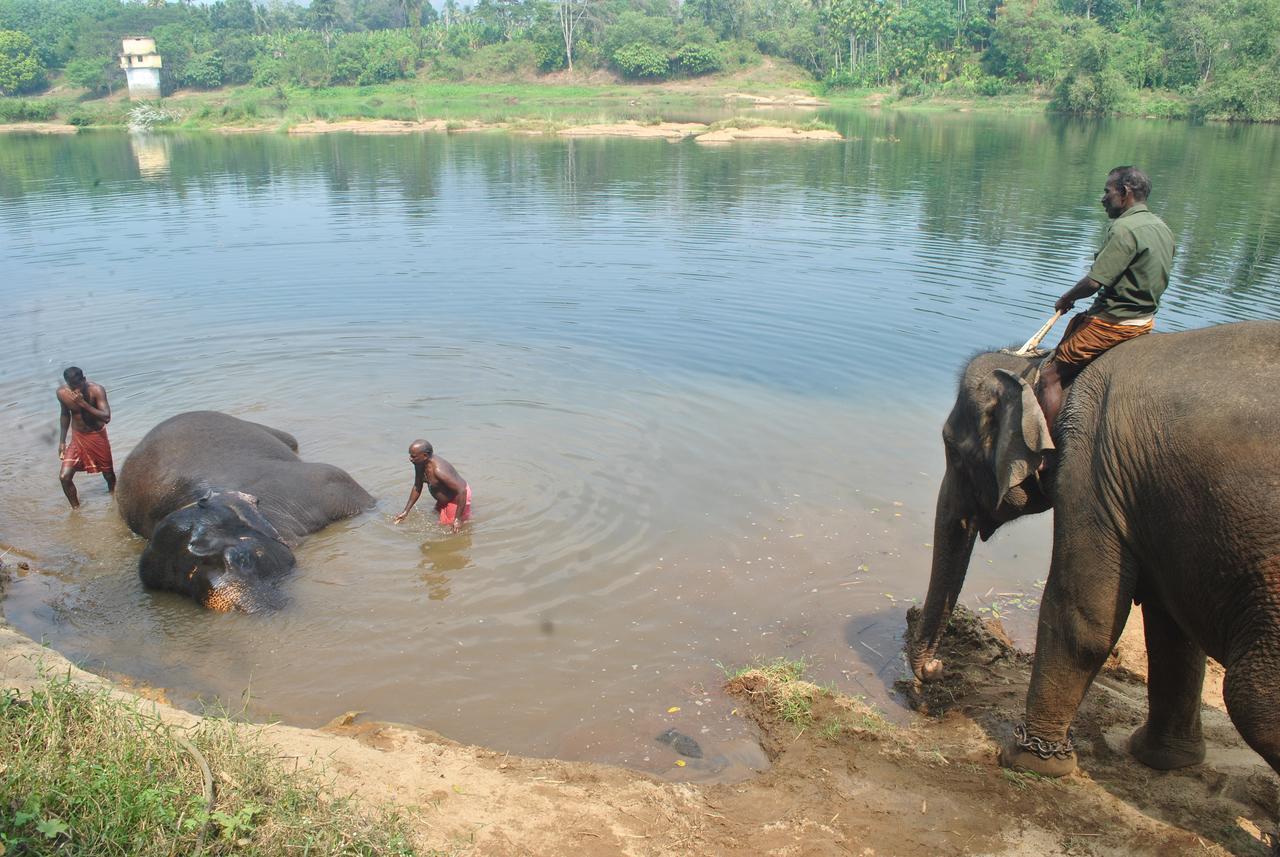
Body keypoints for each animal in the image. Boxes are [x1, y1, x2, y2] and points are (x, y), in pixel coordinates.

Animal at [906, 321, 1280, 787]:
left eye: (953, 451)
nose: (936, 671)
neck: (1039, 367)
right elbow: (1171, 630)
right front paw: (1162, 759)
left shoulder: (1091, 473)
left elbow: (1083, 615)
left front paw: (1029, 762)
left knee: (1253, 700)